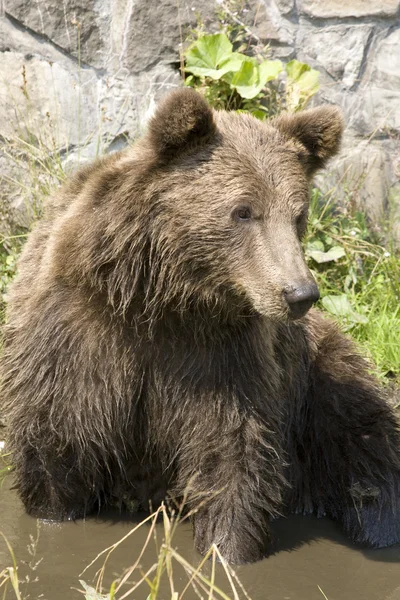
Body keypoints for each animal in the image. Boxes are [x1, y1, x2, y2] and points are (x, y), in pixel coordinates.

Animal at [0, 86, 400, 564]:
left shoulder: (224, 358)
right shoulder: (78, 338)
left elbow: (231, 455)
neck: (162, 298)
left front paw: (228, 552)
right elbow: (56, 448)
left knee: (366, 450)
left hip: (319, 381)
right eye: (243, 211)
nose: (299, 293)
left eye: (298, 214)